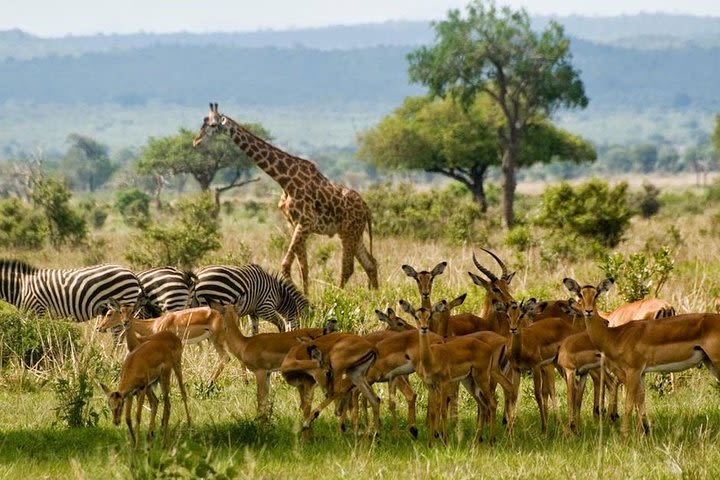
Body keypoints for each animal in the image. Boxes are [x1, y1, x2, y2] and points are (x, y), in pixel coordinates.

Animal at [191, 102, 382, 296]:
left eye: (213, 125)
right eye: (203, 122)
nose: (196, 142)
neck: (284, 180)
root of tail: (366, 208)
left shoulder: (305, 223)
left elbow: (286, 265)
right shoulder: (294, 224)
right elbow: (303, 266)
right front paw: (306, 296)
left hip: (350, 232)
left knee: (349, 267)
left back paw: (339, 295)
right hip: (352, 232)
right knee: (370, 263)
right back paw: (374, 296)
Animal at [564, 276, 720, 436]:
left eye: (596, 294)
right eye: (580, 294)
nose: (588, 311)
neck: (615, 335)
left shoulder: (633, 371)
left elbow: (629, 404)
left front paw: (625, 435)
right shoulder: (641, 373)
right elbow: (640, 401)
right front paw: (643, 433)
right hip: (709, 363)